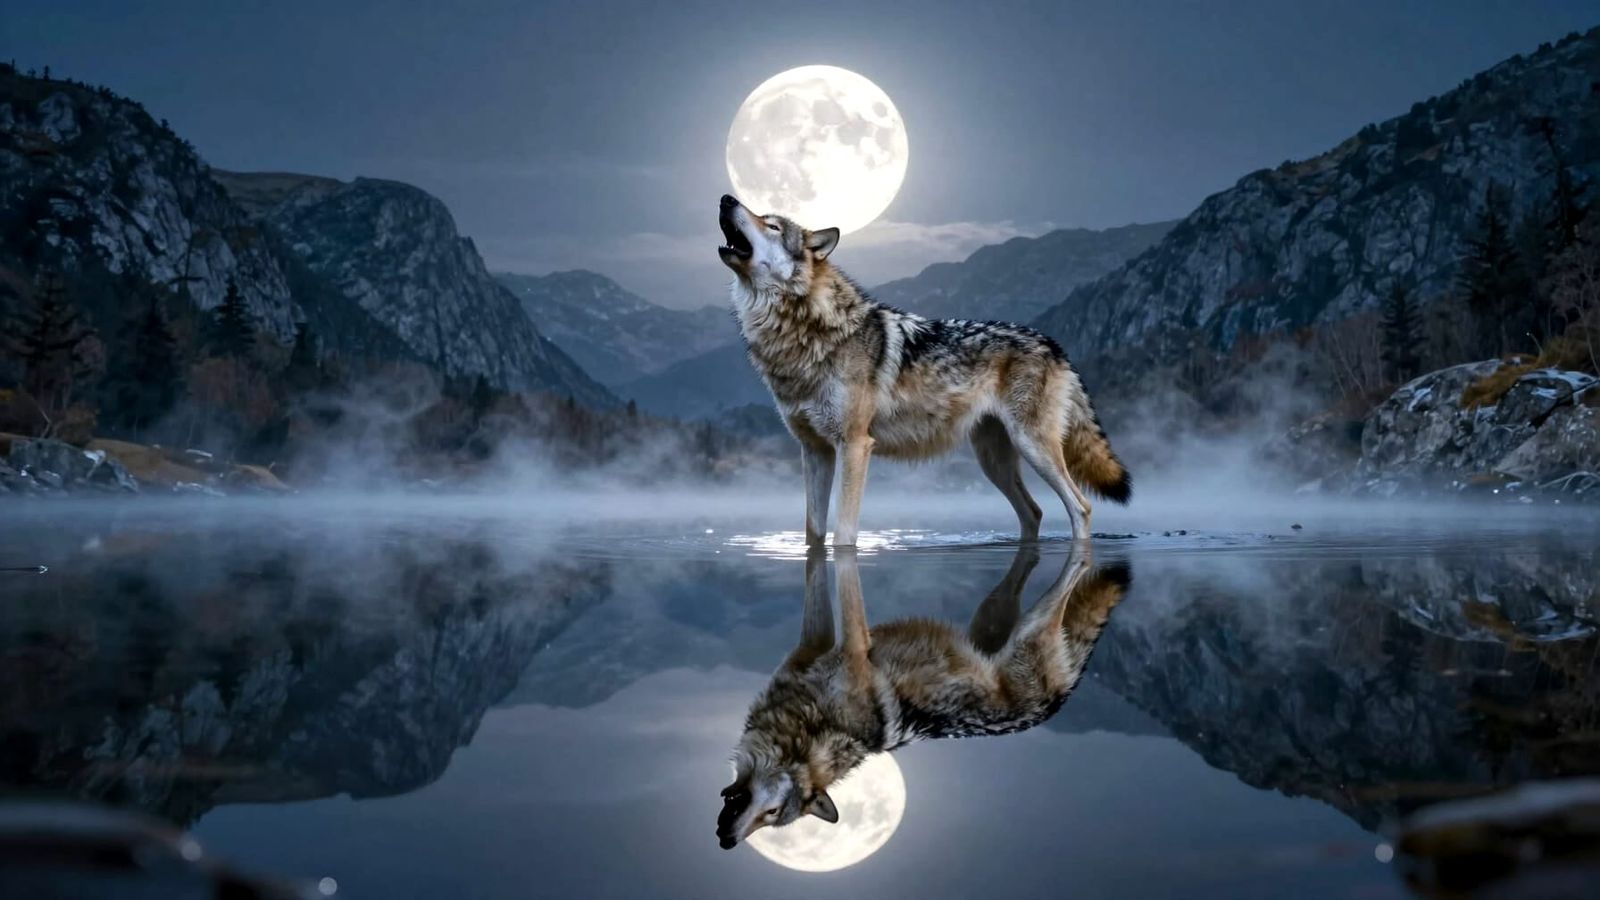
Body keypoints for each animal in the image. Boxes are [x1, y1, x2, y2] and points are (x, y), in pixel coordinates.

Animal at [715, 545, 1129, 849]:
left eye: (771, 817)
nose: (728, 842)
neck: (818, 729)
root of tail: (1058, 700)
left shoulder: (852, 647)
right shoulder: (807, 650)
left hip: (1035, 622)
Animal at [717, 194, 1131, 545]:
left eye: (772, 226)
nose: (726, 199)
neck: (805, 331)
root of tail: (1053, 344)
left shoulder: (854, 445)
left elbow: (844, 533)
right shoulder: (815, 450)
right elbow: (813, 534)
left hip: (1033, 448)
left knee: (1080, 507)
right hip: (994, 461)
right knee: (1034, 512)